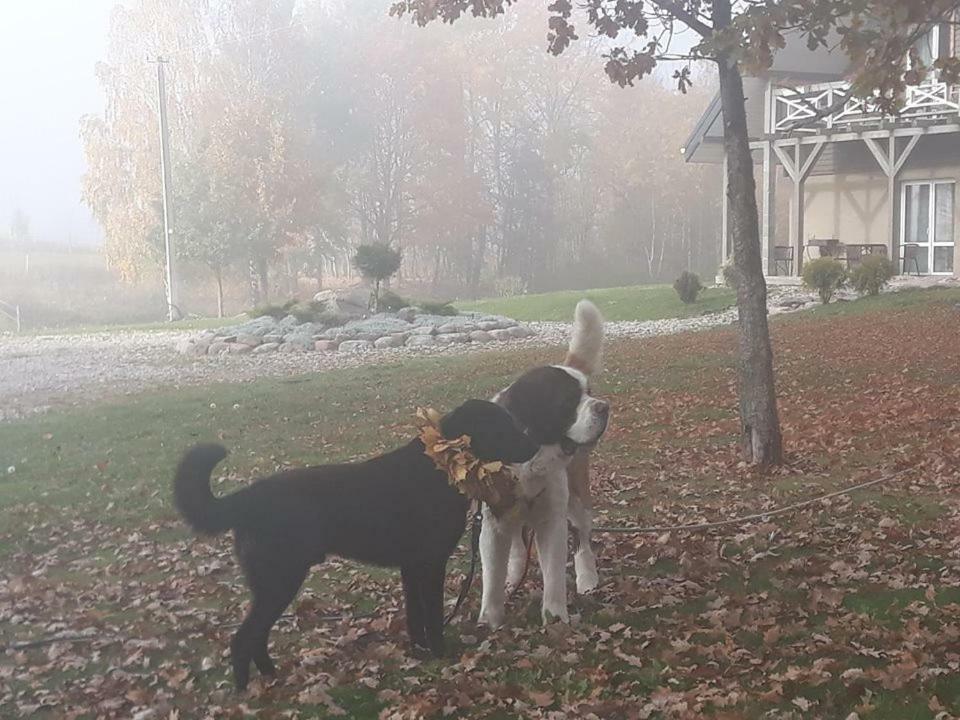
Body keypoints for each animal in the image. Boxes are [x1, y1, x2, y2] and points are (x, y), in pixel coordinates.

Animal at [174, 400, 540, 692]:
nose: (534, 445)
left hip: (273, 586)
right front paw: (439, 655)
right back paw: (246, 692)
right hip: (279, 582)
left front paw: (419, 653)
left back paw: (271, 676)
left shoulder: (412, 568)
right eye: (501, 425)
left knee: (257, 636)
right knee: (243, 639)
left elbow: (415, 618)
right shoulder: (431, 564)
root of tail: (246, 498)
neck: (439, 467)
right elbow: (433, 617)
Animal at [480, 296, 608, 624]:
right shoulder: (491, 521)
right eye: (568, 401)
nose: (604, 407)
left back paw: (587, 578)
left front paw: (555, 617)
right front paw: (490, 619)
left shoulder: (552, 519)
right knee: (515, 540)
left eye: (589, 393)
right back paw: (514, 574)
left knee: (582, 538)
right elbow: (491, 575)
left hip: (577, 497)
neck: (528, 456)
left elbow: (554, 573)